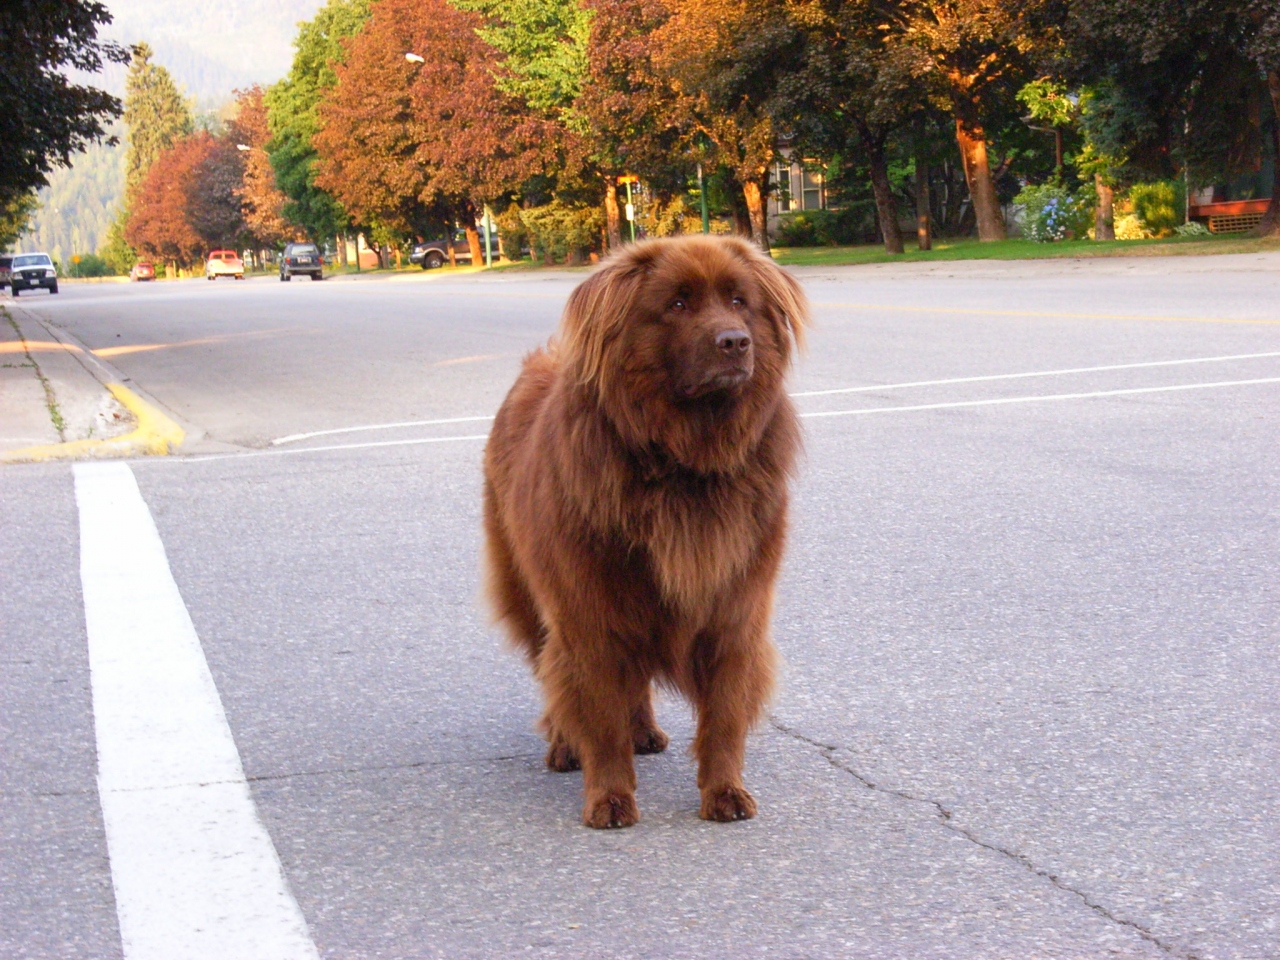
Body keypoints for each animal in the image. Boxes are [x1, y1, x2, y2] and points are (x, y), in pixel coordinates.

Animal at [483, 236, 803, 829]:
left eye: (739, 301)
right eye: (676, 304)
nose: (735, 342)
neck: (686, 461)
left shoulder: (736, 607)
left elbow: (724, 715)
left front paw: (725, 793)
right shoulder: (587, 608)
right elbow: (597, 713)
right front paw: (609, 800)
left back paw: (646, 733)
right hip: (529, 590)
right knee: (552, 674)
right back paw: (565, 747)